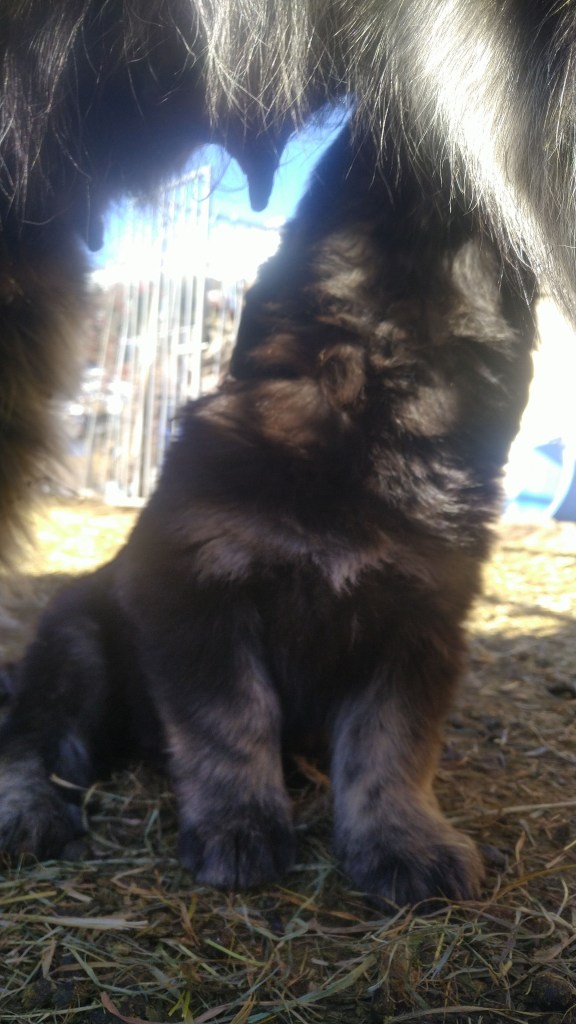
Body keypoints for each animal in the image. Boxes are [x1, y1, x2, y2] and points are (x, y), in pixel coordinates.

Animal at [0, 125, 536, 905]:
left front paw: (403, 841)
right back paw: (29, 810)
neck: (370, 409)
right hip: (77, 649)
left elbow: (391, 744)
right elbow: (233, 719)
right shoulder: (200, 597)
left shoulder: (420, 626)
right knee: (35, 737)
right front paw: (240, 828)